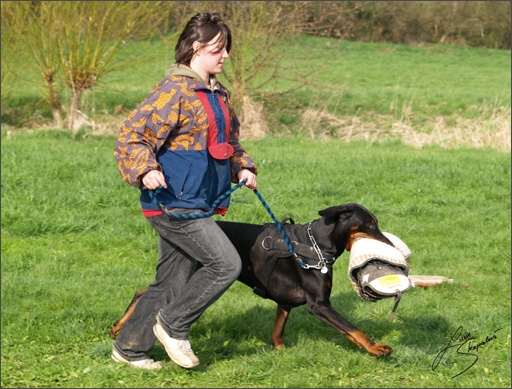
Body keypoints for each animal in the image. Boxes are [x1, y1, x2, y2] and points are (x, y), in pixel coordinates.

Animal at [110, 203, 394, 358]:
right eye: (371, 223)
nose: (391, 244)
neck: (316, 244)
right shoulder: (320, 304)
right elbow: (352, 328)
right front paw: (376, 348)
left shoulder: (286, 302)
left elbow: (278, 329)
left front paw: (280, 351)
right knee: (149, 293)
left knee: (146, 291)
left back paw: (118, 328)